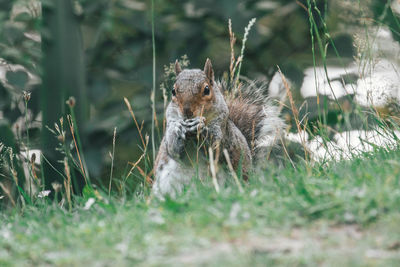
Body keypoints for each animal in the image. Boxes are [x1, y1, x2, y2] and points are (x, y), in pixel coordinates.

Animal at [152, 59, 286, 200]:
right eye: (173, 91)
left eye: (206, 89)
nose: (187, 112)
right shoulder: (170, 123)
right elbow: (174, 150)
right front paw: (178, 129)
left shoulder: (222, 131)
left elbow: (215, 150)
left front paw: (201, 128)